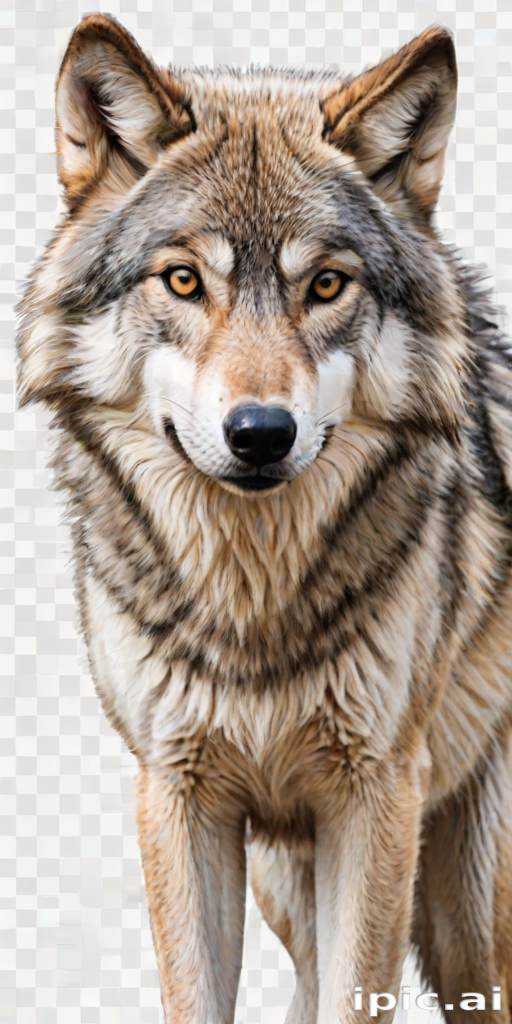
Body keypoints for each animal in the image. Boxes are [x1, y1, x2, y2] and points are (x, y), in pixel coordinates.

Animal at [16, 13, 512, 1023]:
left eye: (325, 286)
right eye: (181, 281)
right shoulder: (179, 795)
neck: (252, 604)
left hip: (475, 915)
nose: (259, 433)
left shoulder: (378, 796)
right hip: (298, 880)